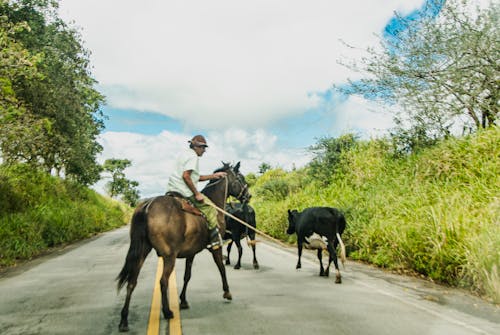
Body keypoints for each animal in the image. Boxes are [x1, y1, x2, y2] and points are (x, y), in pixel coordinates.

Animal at [116, 161, 250, 332]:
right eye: (240, 178)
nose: (249, 195)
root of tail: (147, 205)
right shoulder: (215, 247)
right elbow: (221, 267)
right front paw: (227, 292)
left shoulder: (190, 252)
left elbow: (187, 275)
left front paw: (183, 300)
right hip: (169, 256)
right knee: (163, 282)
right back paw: (167, 312)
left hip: (142, 252)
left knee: (132, 282)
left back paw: (124, 320)